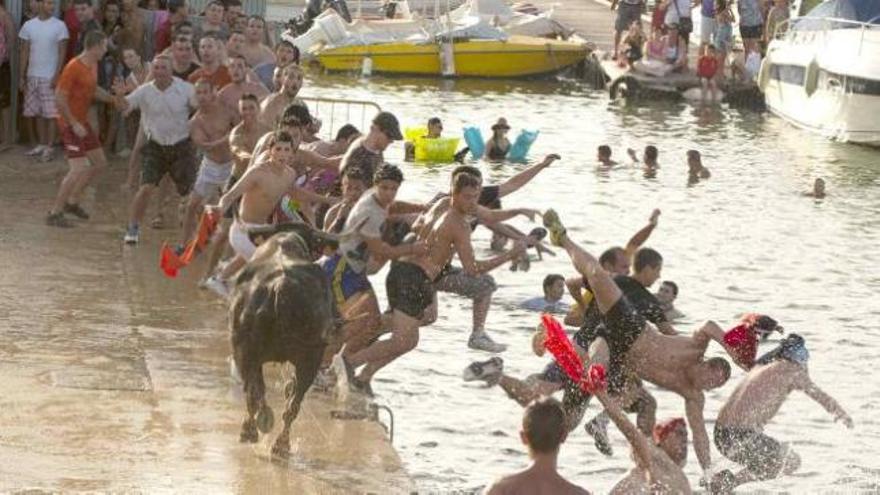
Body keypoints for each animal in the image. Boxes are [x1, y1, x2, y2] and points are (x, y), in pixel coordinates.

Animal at [230, 224, 340, 458]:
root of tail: (280, 285)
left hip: (247, 351)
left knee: (257, 395)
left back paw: (256, 430)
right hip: (309, 359)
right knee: (290, 403)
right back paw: (278, 443)